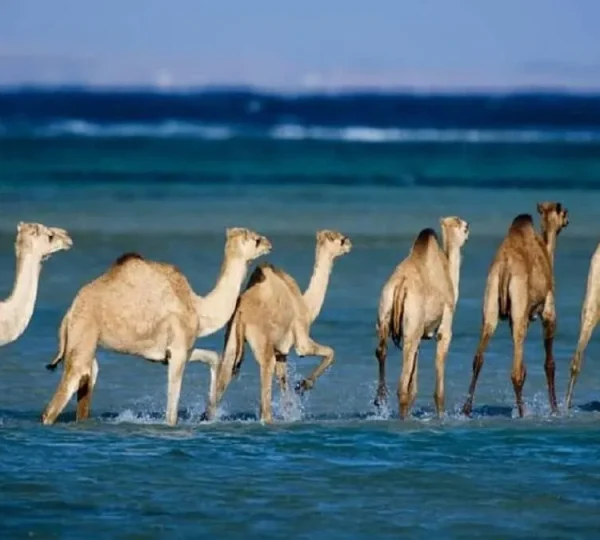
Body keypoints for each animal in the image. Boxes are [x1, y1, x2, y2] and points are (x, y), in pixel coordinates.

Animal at [39, 227, 270, 426]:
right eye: (256, 239)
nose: (269, 243)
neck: (198, 308)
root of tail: (69, 314)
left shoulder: (174, 352)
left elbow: (213, 357)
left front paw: (209, 414)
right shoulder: (178, 351)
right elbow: (171, 413)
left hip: (86, 348)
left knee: (87, 380)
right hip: (82, 334)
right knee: (57, 400)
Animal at [204, 230, 352, 424]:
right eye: (341, 239)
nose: (350, 244)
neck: (306, 305)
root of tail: (242, 311)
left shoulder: (281, 351)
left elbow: (283, 384)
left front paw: (291, 411)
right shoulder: (301, 338)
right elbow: (329, 352)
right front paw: (303, 385)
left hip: (231, 342)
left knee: (222, 380)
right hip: (262, 343)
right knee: (265, 395)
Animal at [376, 217, 468, 420]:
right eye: (460, 224)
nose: (468, 226)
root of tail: (400, 285)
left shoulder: (419, 333)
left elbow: (414, 388)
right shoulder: (445, 325)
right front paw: (441, 416)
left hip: (386, 313)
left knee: (381, 351)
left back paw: (380, 400)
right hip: (412, 322)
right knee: (402, 385)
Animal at [462, 202, 568, 418]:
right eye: (564, 212)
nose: (568, 220)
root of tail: (504, 269)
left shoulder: (513, 317)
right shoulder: (548, 309)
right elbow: (549, 364)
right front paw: (555, 410)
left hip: (491, 300)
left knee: (479, 357)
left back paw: (466, 409)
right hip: (519, 305)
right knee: (516, 370)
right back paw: (522, 412)